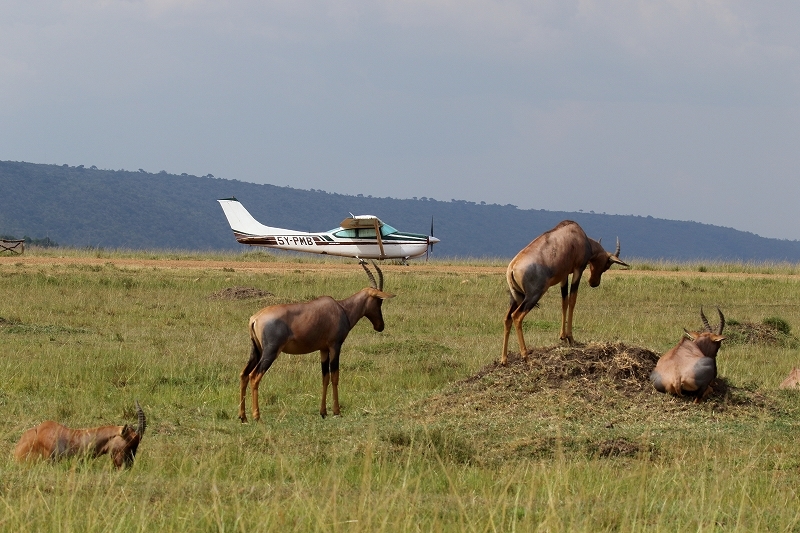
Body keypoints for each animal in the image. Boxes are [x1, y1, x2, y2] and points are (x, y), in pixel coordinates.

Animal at [241, 260, 396, 422]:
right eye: (379, 301)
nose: (380, 326)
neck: (341, 308)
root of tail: (255, 318)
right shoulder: (335, 346)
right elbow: (335, 376)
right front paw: (337, 411)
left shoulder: (323, 349)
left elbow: (325, 378)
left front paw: (323, 412)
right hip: (270, 352)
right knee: (254, 376)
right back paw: (257, 416)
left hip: (256, 351)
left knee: (244, 375)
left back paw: (243, 417)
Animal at [500, 218, 632, 364]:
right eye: (607, 265)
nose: (594, 283)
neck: (577, 234)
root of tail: (512, 267)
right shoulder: (578, 269)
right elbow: (572, 300)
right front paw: (570, 338)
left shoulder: (563, 276)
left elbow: (564, 301)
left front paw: (562, 337)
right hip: (533, 296)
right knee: (516, 317)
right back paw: (525, 356)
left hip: (516, 297)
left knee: (507, 319)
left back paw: (504, 359)